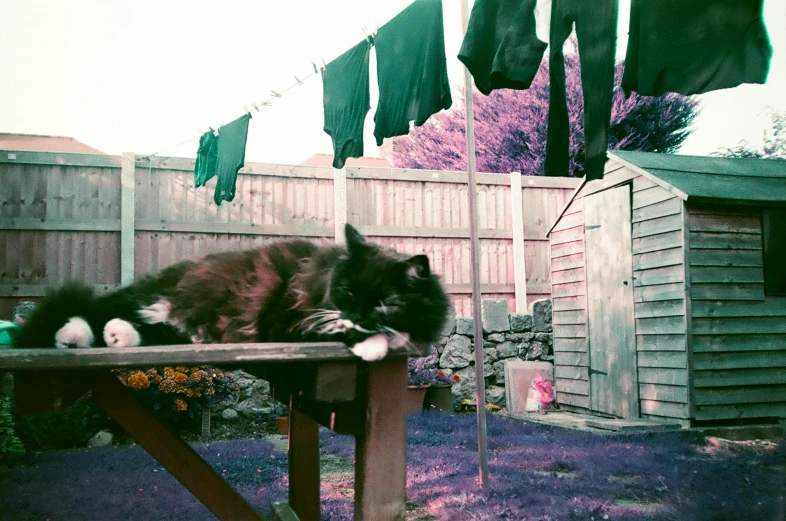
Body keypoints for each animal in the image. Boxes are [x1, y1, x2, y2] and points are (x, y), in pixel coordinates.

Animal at [13, 223, 448, 362]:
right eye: (349, 294)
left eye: (384, 302)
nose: (356, 314)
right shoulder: (290, 321)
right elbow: (345, 330)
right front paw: (371, 344)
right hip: (154, 299)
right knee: (91, 309)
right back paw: (73, 337)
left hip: (176, 324)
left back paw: (116, 336)